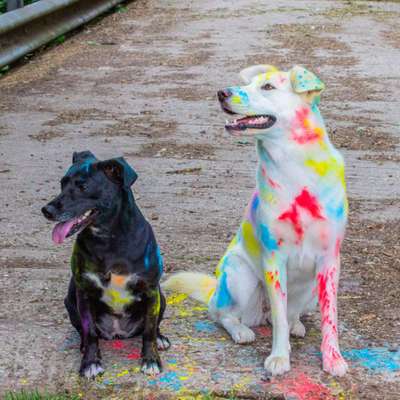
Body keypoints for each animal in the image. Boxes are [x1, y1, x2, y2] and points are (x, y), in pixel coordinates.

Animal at [41, 151, 170, 378]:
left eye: (83, 186)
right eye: (62, 183)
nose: (46, 210)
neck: (108, 239)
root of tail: (118, 333)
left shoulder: (150, 290)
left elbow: (149, 331)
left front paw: (151, 359)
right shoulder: (83, 292)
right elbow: (90, 331)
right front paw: (90, 362)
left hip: (161, 297)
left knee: (153, 326)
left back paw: (161, 338)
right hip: (70, 300)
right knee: (83, 331)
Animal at [162, 64, 346, 376]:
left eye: (268, 87)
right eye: (248, 84)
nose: (222, 92)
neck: (295, 169)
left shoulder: (329, 261)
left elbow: (328, 318)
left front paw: (332, 359)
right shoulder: (273, 259)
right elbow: (279, 318)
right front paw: (280, 357)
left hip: (309, 289)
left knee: (290, 314)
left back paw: (297, 325)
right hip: (240, 275)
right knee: (223, 314)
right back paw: (241, 331)